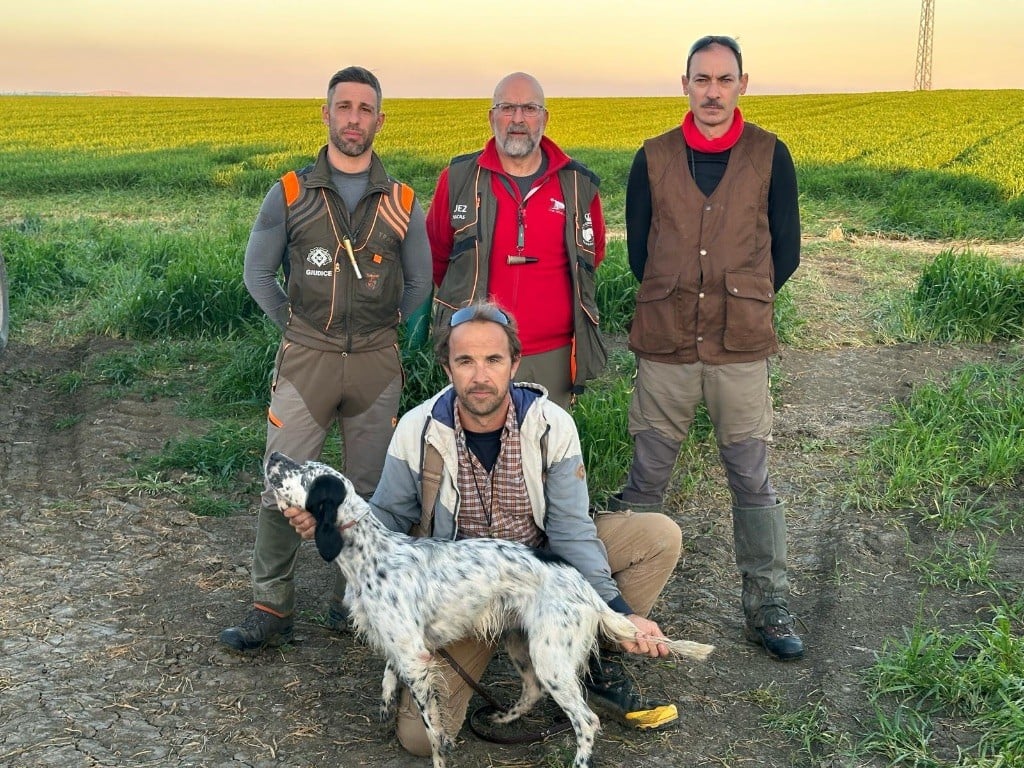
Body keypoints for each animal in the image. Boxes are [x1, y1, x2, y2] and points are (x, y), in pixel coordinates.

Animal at [264, 450, 712, 768]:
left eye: (304, 473)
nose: (273, 455)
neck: (369, 553)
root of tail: (587, 589)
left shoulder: (415, 658)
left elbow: (432, 730)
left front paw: (441, 756)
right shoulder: (404, 646)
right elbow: (388, 679)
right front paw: (385, 710)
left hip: (551, 657)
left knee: (586, 720)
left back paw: (578, 760)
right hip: (521, 643)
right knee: (531, 690)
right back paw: (502, 720)